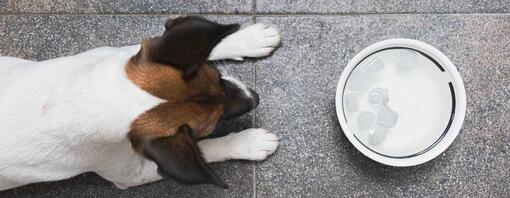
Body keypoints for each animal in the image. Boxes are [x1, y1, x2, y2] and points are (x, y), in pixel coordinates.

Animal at [0, 15, 282, 190]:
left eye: (217, 77)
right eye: (212, 125)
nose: (255, 98)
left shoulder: (119, 57)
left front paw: (249, 38)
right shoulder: (133, 173)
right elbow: (208, 149)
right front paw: (249, 142)